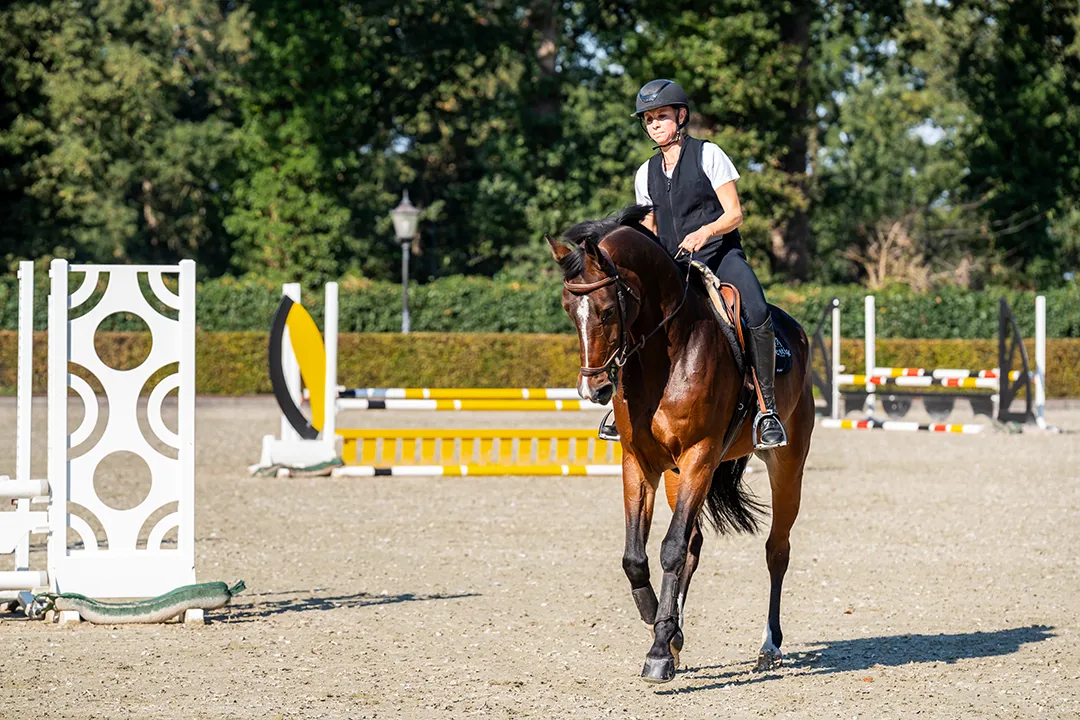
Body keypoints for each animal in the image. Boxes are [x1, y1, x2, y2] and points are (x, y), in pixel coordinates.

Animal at [547, 204, 815, 683]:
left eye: (606, 311)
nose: (593, 389)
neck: (665, 354)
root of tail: (796, 332)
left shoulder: (699, 455)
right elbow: (636, 556)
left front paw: (658, 647)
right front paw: (657, 623)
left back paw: (769, 645)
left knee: (776, 549)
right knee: (693, 544)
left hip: (785, 465)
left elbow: (669, 550)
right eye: (568, 310)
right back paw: (672, 635)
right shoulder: (640, 462)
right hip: (676, 474)